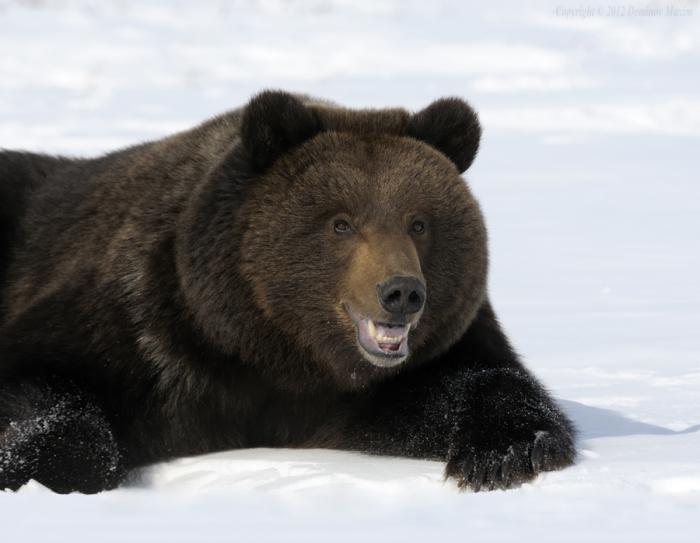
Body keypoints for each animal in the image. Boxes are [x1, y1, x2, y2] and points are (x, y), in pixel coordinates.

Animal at [0, 90, 576, 494]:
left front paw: (508, 452)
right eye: (342, 223)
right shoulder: (139, 322)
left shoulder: (368, 385)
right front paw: (44, 468)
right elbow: (45, 388)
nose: (402, 292)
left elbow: (475, 383)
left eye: (419, 222)